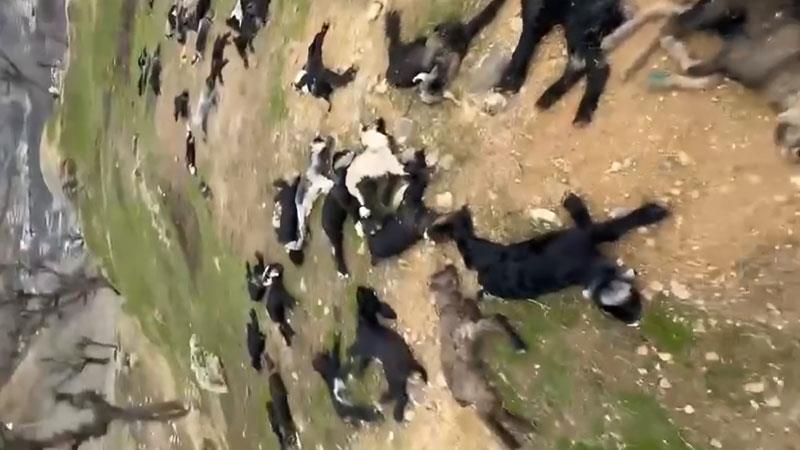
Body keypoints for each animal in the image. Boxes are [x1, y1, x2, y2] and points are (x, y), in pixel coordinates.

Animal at [347, 287, 427, 422]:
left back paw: (397, 414)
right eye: (369, 292)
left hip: (393, 375)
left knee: (402, 396)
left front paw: (348, 354)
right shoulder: (368, 354)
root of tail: (411, 361)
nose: (359, 287)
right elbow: (363, 363)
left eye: (362, 294)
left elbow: (355, 353)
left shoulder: (362, 348)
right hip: (396, 378)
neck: (369, 322)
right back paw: (385, 398)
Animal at [429, 265, 533, 449]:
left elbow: (498, 319)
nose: (451, 266)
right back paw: (515, 438)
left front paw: (518, 343)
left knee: (500, 416)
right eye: (441, 274)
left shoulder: (477, 323)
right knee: (495, 420)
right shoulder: (470, 327)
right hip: (485, 399)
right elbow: (495, 319)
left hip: (487, 395)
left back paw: (524, 428)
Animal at [431, 193, 669, 325]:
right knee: (462, 233)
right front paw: (653, 212)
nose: (636, 322)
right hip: (479, 248)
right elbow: (610, 228)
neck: (587, 270)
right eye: (636, 303)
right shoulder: (586, 235)